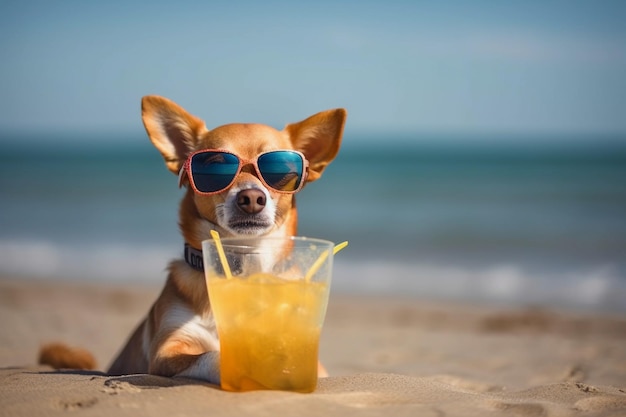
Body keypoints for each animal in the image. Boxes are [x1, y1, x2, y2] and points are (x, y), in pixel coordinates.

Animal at [39, 95, 346, 384]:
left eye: (281, 170)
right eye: (214, 168)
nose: (251, 198)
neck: (246, 261)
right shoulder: (168, 348)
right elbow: (213, 355)